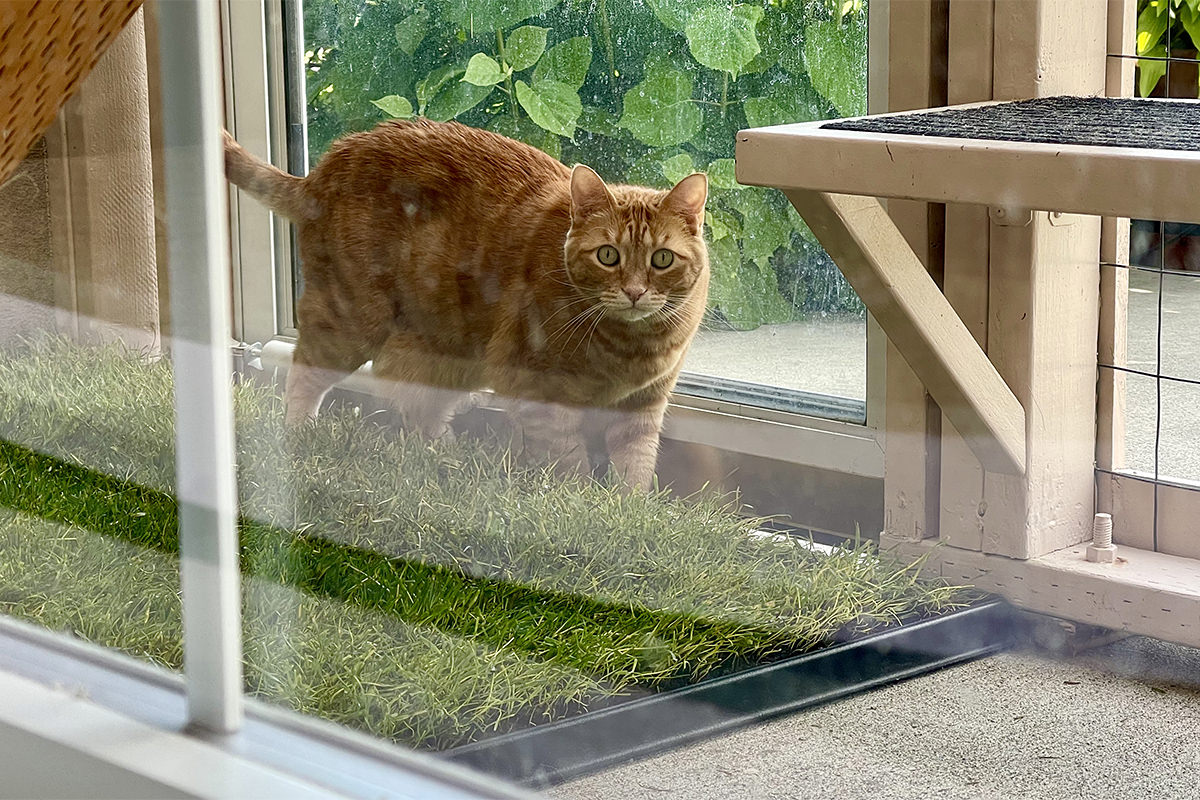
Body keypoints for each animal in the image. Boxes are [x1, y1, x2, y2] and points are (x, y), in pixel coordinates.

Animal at [224, 119, 705, 491]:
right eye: (608, 256)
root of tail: (321, 169)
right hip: (350, 322)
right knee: (305, 374)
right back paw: (300, 435)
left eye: (662, 260)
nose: (635, 292)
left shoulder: (641, 410)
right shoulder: (537, 393)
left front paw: (628, 513)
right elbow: (569, 461)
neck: (629, 347)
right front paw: (580, 504)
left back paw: (446, 458)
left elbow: (635, 470)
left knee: (417, 404)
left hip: (445, 351)